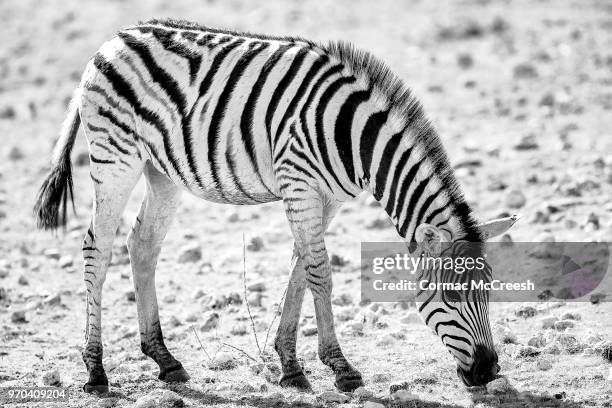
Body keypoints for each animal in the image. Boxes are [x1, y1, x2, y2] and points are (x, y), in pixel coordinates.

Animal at [33, 18, 520, 392]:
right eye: (452, 296)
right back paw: (96, 371)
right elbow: (320, 272)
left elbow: (301, 267)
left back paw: (164, 359)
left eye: (490, 291)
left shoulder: (327, 197)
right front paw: (341, 369)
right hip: (115, 157)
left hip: (163, 171)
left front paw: (291, 367)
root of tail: (114, 38)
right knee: (98, 247)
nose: (488, 371)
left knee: (143, 245)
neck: (355, 138)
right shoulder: (299, 182)